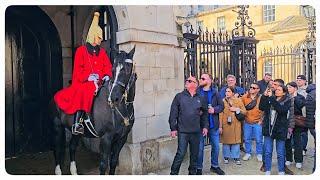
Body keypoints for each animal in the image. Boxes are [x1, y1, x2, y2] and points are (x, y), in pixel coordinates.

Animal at [50, 46, 136, 174]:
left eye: (127, 69)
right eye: (113, 70)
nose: (114, 98)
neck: (122, 108)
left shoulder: (121, 138)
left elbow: (113, 162)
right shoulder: (106, 138)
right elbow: (103, 164)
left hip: (76, 132)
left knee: (72, 146)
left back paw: (74, 172)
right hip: (57, 127)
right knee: (57, 149)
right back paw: (58, 172)